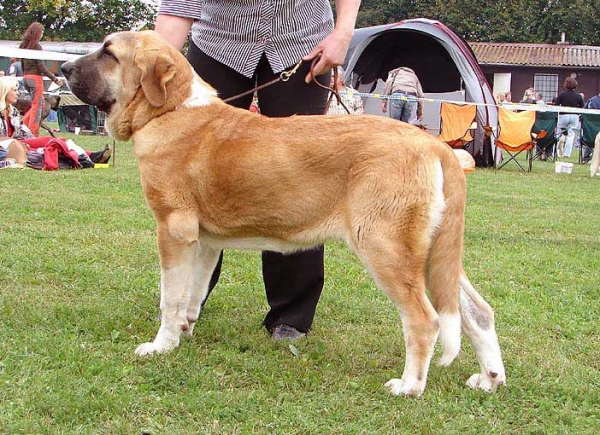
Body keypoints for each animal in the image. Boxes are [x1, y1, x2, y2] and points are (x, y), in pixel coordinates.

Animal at [61, 31, 504, 398]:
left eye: (109, 53)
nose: (63, 69)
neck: (170, 110)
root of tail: (437, 146)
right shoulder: (203, 242)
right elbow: (191, 293)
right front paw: (183, 332)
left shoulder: (173, 230)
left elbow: (170, 296)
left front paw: (160, 346)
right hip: (433, 254)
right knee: (477, 312)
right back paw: (489, 379)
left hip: (386, 249)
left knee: (424, 320)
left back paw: (409, 386)